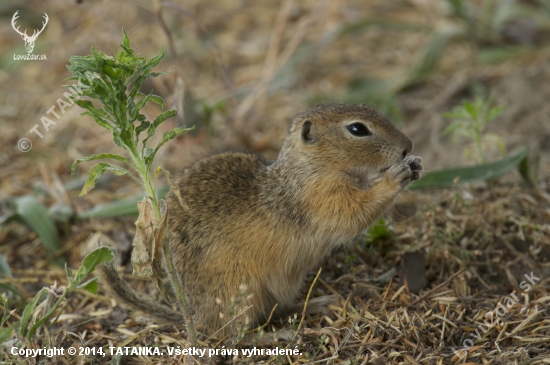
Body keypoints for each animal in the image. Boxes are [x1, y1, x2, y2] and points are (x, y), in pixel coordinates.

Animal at [96, 102, 422, 336]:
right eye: (357, 129)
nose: (408, 145)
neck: (309, 170)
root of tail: (196, 317)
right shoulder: (324, 200)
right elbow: (355, 213)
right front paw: (395, 177)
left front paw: (412, 167)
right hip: (243, 291)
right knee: (236, 334)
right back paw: (277, 335)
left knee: (276, 311)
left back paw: (318, 303)